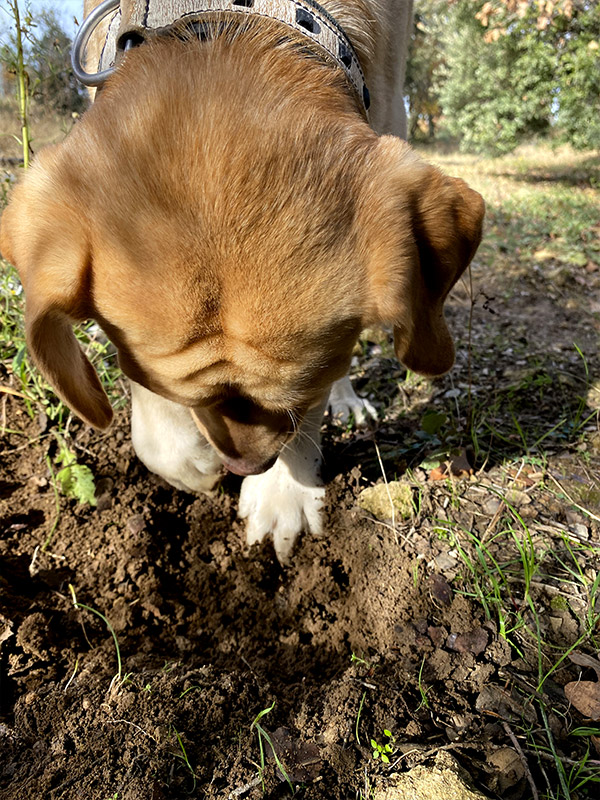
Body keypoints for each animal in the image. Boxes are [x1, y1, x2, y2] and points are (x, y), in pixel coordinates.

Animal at [0, 0, 486, 564]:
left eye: (303, 391)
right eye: (158, 386)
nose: (243, 468)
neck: (234, 21)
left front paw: (284, 493)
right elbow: (154, 420)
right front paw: (186, 461)